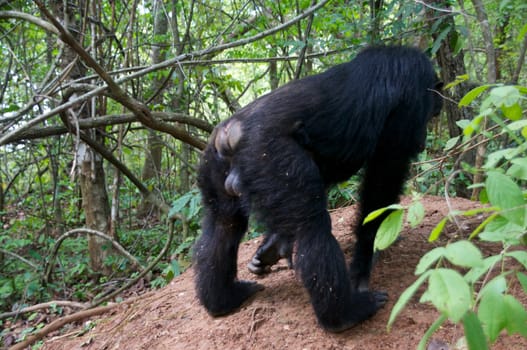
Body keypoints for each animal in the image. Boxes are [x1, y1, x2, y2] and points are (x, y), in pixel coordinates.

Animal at [192, 45, 444, 332]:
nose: (424, 138)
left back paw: (224, 299)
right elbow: (383, 176)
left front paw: (273, 246)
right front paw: (364, 262)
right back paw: (347, 313)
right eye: (431, 114)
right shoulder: (409, 103)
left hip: (213, 166)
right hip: (271, 157)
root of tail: (230, 133)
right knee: (312, 229)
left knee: (222, 227)